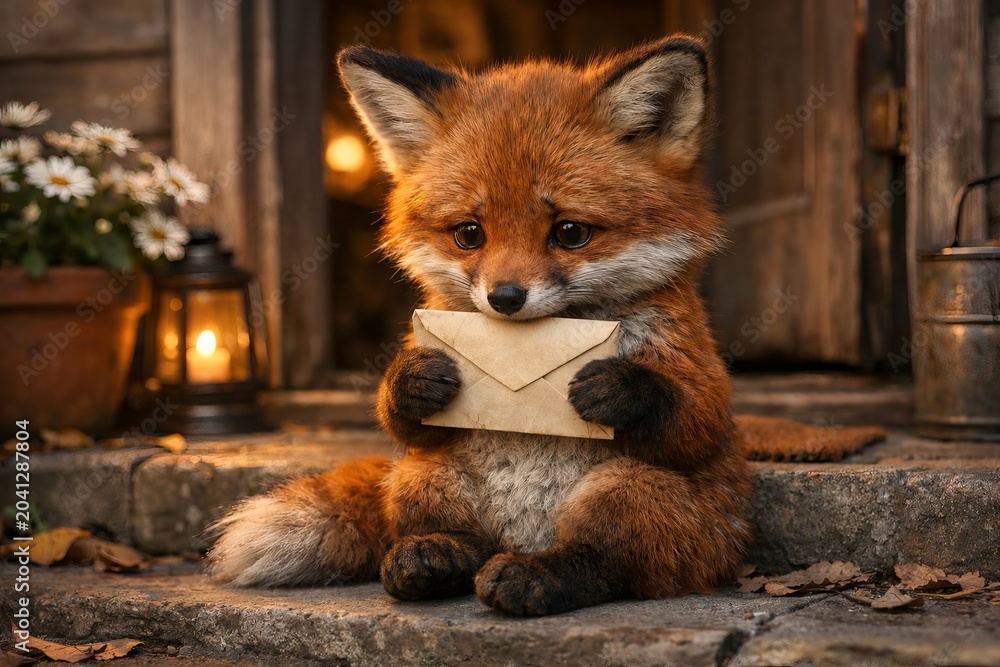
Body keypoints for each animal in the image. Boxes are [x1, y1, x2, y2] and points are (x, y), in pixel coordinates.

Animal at [207, 35, 881, 615]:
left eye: (570, 232)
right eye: (469, 234)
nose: (504, 298)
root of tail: (524, 537)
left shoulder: (693, 363)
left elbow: (696, 415)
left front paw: (617, 389)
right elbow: (400, 419)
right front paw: (412, 381)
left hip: (630, 490)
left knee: (609, 563)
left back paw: (536, 578)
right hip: (429, 473)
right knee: (448, 530)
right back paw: (431, 560)